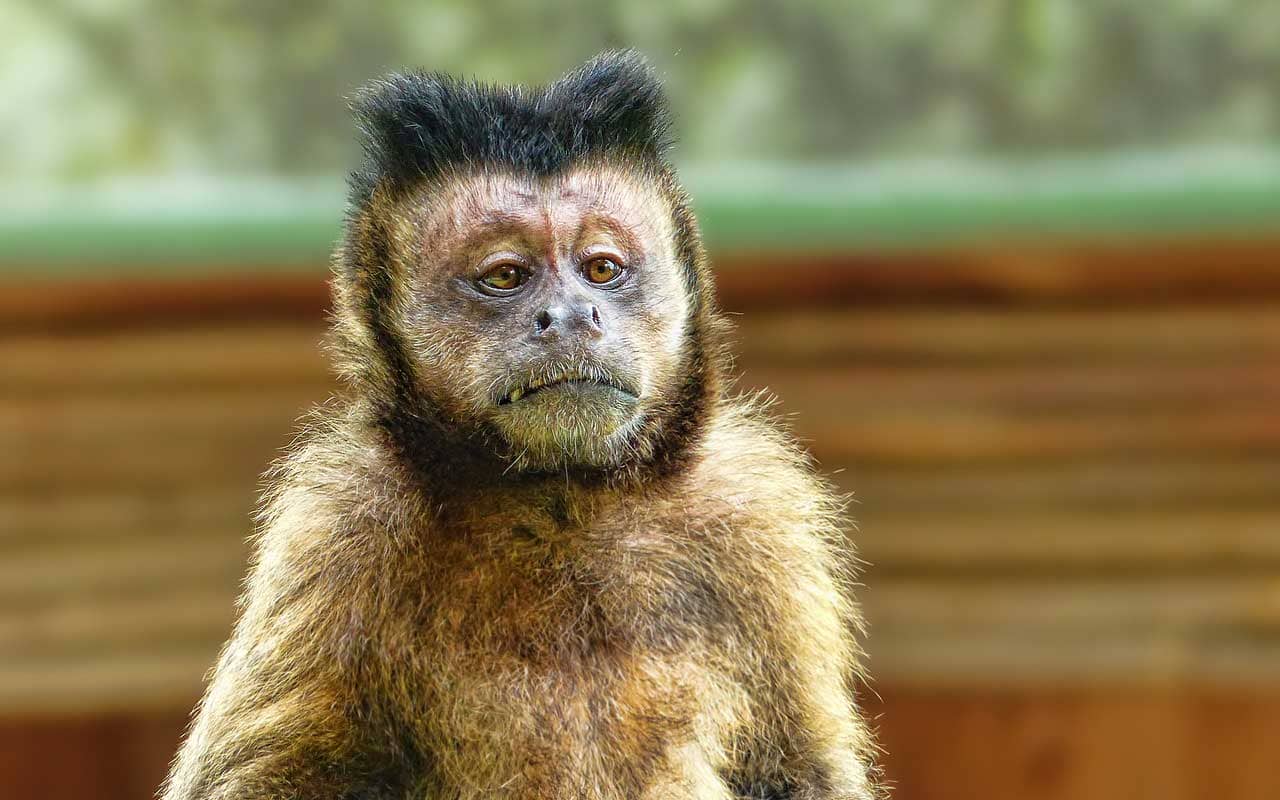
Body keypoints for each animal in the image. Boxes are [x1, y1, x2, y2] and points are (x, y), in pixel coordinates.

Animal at [161, 51, 881, 800]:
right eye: (506, 276)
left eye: (602, 269)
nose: (569, 315)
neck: (562, 500)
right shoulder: (337, 532)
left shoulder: (756, 521)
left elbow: (803, 771)